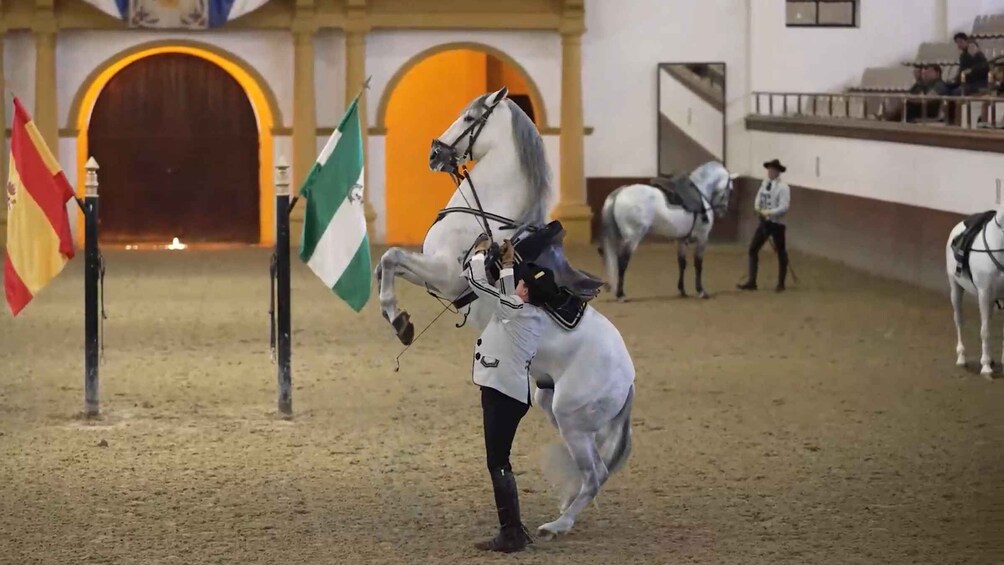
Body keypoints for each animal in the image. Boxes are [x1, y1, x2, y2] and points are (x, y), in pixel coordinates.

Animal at [373, 87, 638, 537]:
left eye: (468, 118)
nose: (435, 153)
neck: (486, 221)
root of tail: (628, 379)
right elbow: (384, 264)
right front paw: (398, 316)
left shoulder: (447, 277)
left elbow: (390, 257)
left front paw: (399, 321)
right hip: (553, 404)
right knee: (593, 471)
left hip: (570, 418)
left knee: (596, 473)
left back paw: (557, 525)